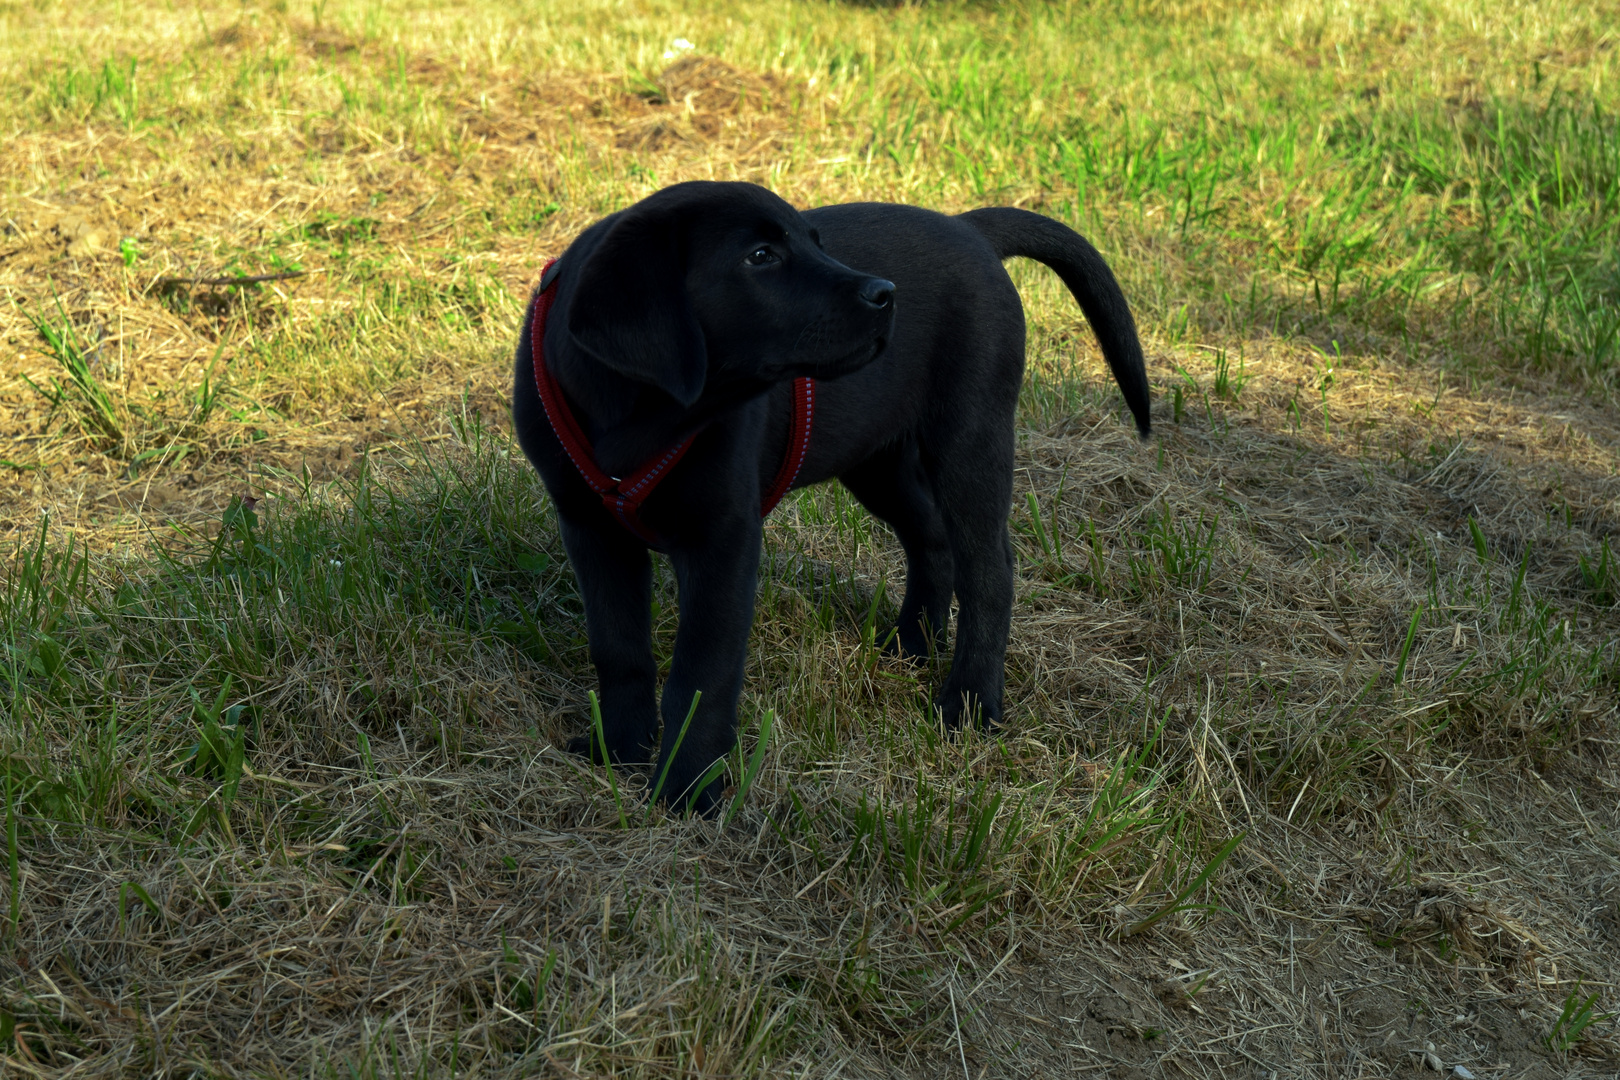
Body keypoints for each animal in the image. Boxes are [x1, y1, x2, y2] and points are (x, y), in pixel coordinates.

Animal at [511, 183, 1146, 809]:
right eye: (760, 256)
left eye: (817, 242)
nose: (885, 294)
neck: (646, 416)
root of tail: (967, 227)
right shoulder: (591, 529)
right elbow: (618, 647)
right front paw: (618, 749)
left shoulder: (723, 538)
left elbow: (701, 674)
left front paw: (687, 789)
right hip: (876, 458)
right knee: (932, 540)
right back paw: (913, 643)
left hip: (969, 433)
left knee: (990, 568)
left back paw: (969, 703)